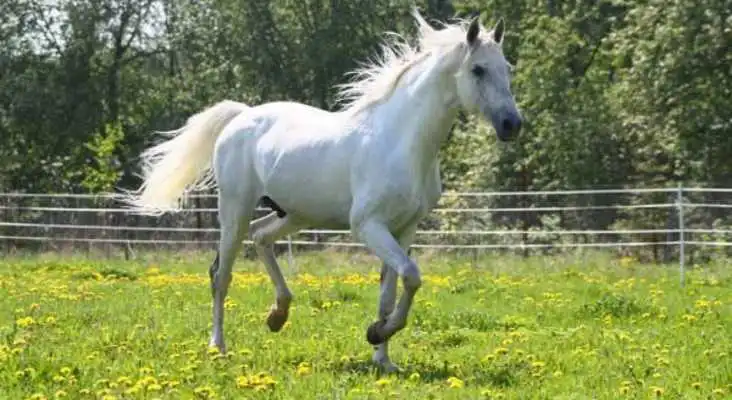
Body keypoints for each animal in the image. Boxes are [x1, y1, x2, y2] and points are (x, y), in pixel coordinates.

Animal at [121, 10, 522, 372]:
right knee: (221, 275)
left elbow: (391, 291)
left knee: (261, 236)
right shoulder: (368, 226)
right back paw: (218, 346)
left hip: (294, 213)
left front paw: (383, 359)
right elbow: (411, 276)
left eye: (507, 69)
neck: (402, 142)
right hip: (234, 210)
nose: (512, 125)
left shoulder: (404, 229)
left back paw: (278, 314)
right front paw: (376, 333)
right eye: (478, 70)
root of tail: (241, 117)